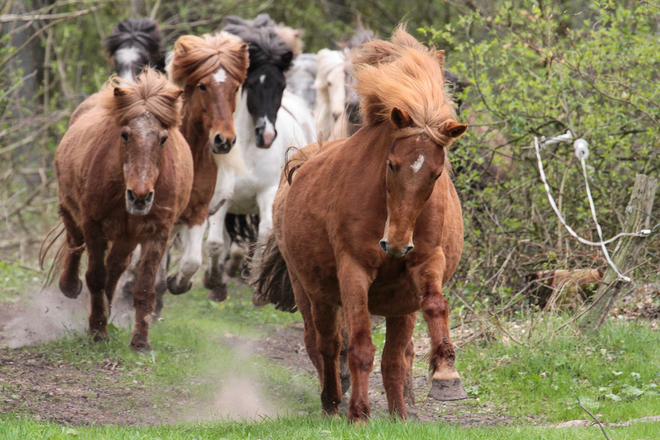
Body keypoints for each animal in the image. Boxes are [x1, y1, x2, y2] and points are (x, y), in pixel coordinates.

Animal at [50, 69, 193, 350]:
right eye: (125, 134)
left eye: (163, 138)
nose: (140, 197)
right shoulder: (93, 225)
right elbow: (95, 277)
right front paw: (97, 333)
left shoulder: (157, 233)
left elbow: (144, 287)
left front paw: (140, 342)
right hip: (72, 211)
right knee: (74, 241)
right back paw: (70, 286)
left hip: (127, 237)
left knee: (115, 268)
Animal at [204, 15, 318, 300]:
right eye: (252, 84)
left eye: (281, 85)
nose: (266, 135)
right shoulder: (222, 196)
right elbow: (214, 242)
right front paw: (214, 282)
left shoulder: (267, 191)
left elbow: (265, 233)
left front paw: (255, 282)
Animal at [254, 29, 470, 422]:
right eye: (391, 164)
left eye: (436, 174)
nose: (396, 245)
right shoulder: (353, 271)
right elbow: (358, 349)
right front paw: (358, 414)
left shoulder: (427, 263)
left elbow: (432, 309)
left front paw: (446, 377)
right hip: (310, 291)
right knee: (324, 344)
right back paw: (332, 402)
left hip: (397, 304)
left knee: (393, 355)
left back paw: (400, 409)